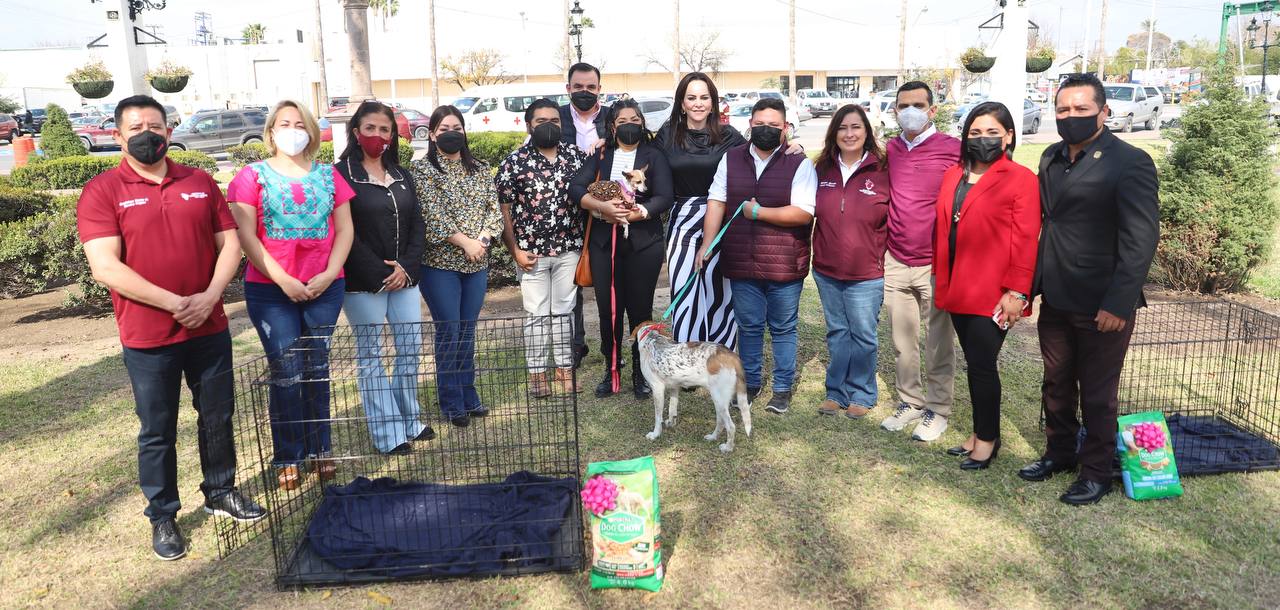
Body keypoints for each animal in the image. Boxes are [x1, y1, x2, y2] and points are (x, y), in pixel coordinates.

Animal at [629, 320, 747, 450]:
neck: (651, 338)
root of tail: (731, 355)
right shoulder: (674, 388)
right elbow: (672, 408)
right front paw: (671, 423)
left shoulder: (657, 389)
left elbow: (658, 417)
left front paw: (655, 434)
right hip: (719, 401)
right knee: (721, 422)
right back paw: (713, 437)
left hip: (719, 399)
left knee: (730, 426)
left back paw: (728, 448)